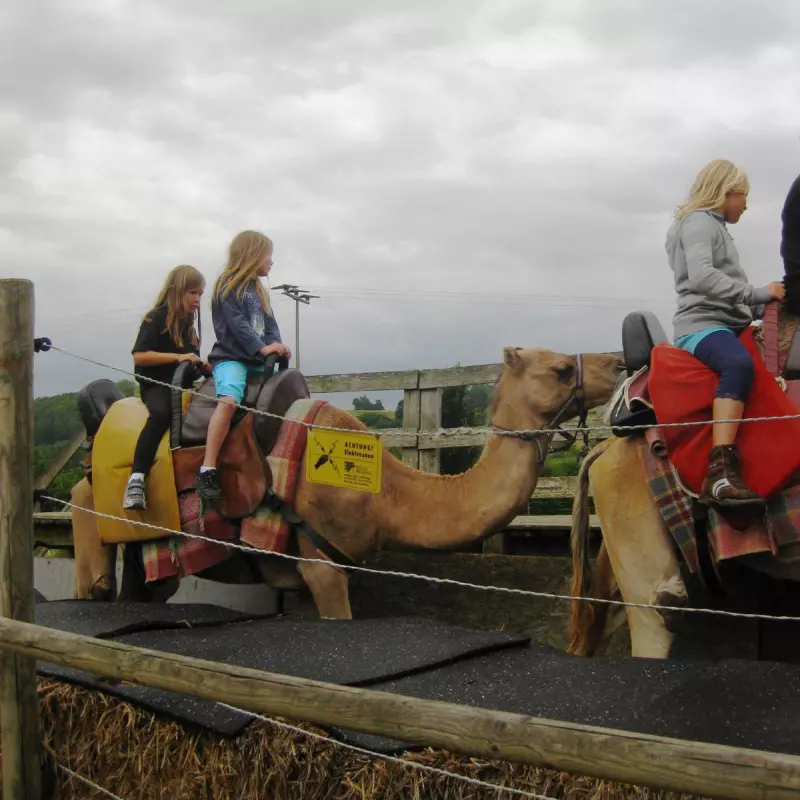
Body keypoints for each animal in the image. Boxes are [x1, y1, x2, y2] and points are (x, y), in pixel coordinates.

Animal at [73, 346, 624, 620]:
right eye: (559, 369)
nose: (618, 362)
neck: (385, 495)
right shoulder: (320, 566)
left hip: (148, 560)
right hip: (94, 518)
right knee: (92, 573)